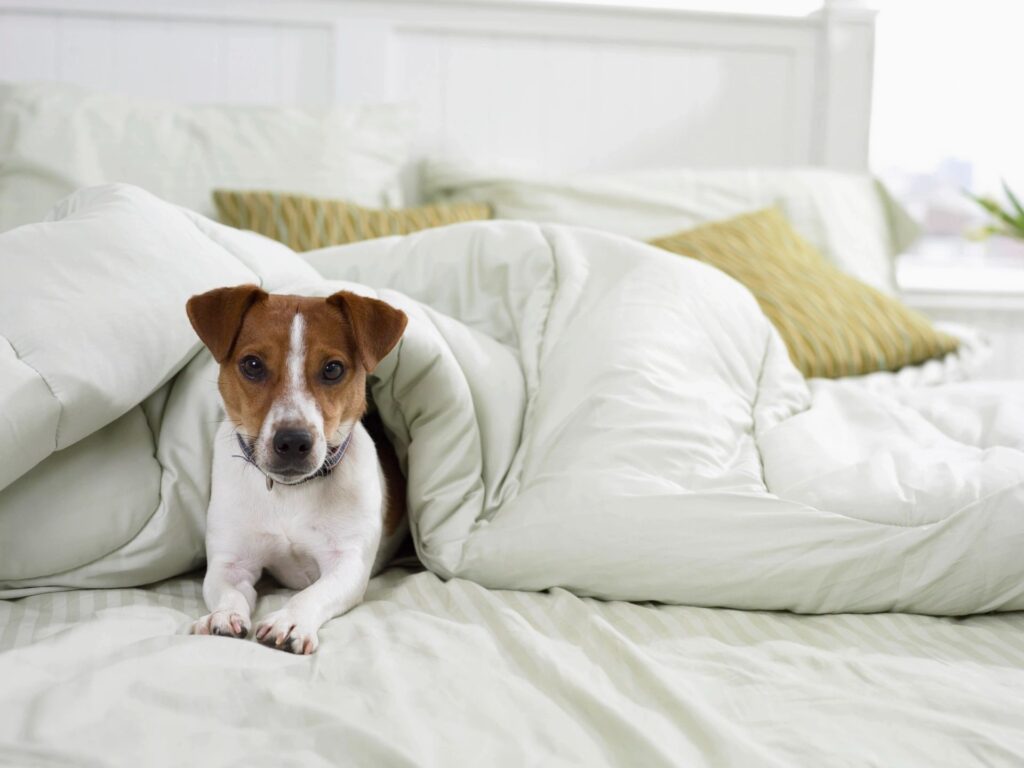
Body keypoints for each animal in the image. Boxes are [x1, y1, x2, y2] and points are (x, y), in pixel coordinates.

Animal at [186, 284, 409, 655]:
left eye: (332, 369)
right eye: (252, 365)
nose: (292, 441)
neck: (290, 493)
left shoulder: (347, 562)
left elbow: (311, 594)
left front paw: (289, 621)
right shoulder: (230, 562)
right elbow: (229, 590)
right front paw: (223, 615)